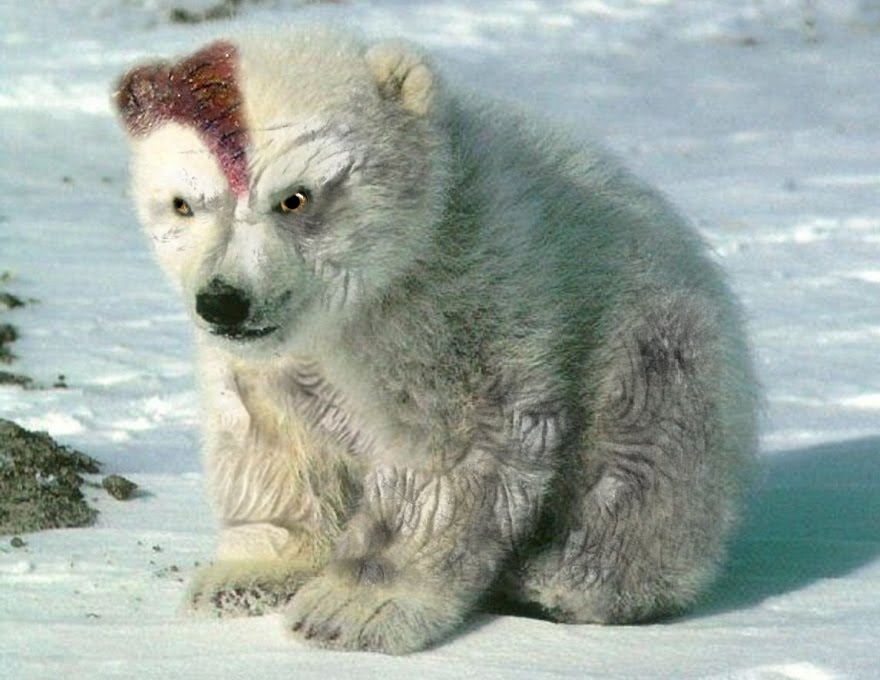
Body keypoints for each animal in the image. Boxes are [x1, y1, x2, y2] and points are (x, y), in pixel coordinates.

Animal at [113, 26, 758, 654]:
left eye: (295, 196)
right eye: (184, 203)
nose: (224, 301)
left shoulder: (459, 300)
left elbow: (448, 449)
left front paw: (348, 609)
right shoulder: (266, 358)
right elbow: (270, 439)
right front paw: (243, 578)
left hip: (652, 346)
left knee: (637, 463)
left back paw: (571, 577)